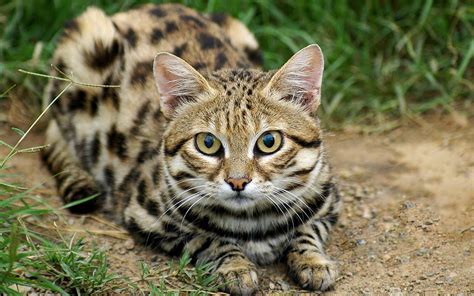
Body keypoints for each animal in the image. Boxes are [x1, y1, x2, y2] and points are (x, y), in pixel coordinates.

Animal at [41, 3, 340, 294]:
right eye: (208, 143)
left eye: (269, 142)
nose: (238, 182)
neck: (253, 221)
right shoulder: (143, 214)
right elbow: (208, 239)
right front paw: (235, 266)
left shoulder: (330, 202)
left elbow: (308, 231)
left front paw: (313, 261)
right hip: (86, 43)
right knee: (53, 129)